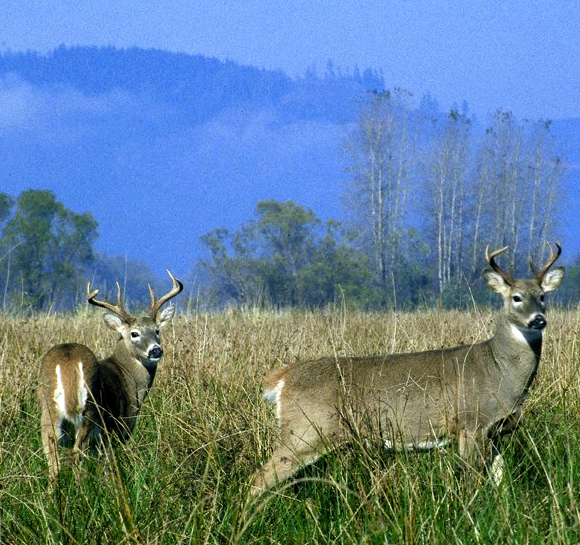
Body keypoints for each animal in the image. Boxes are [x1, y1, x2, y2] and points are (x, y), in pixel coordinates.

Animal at [37, 270, 182, 480]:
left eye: (157, 330)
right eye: (134, 333)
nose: (156, 350)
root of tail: (67, 360)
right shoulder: (119, 427)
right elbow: (108, 467)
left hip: (49, 413)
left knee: (53, 464)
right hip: (89, 411)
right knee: (76, 457)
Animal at [251, 244, 564, 496]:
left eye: (543, 296)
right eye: (516, 297)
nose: (538, 320)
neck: (499, 369)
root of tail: (282, 378)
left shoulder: (498, 430)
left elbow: (500, 479)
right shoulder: (471, 421)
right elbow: (471, 478)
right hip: (306, 430)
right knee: (260, 478)